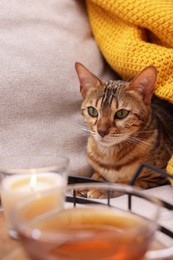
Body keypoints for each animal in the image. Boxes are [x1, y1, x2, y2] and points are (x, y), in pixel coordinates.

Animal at [75, 62, 173, 197]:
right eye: (92, 111)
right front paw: (87, 183)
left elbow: (123, 184)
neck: (110, 157)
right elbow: (97, 174)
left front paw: (100, 189)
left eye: (121, 114)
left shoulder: (157, 176)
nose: (101, 131)